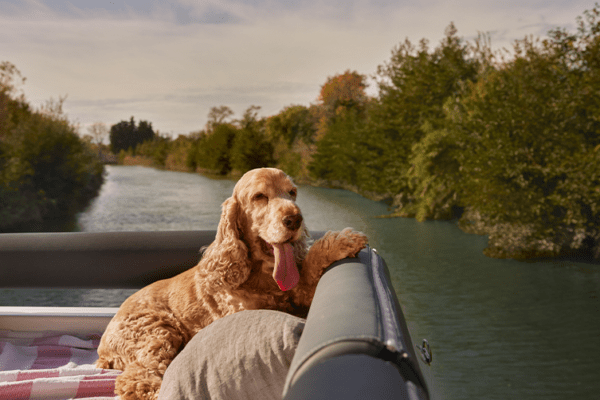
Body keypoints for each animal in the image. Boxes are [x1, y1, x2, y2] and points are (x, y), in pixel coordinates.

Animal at [96, 167, 368, 398]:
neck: (262, 275)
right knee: (136, 380)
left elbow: (306, 281)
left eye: (292, 193)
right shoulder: (246, 310)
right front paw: (341, 241)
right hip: (157, 330)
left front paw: (341, 243)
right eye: (260, 196)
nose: (295, 219)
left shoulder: (295, 296)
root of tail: (103, 347)